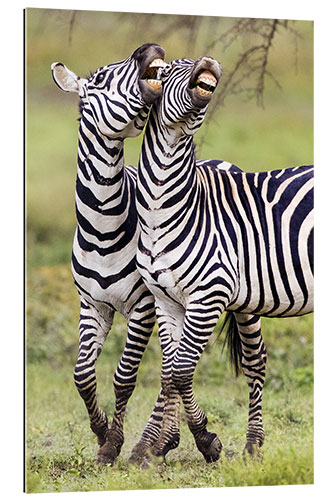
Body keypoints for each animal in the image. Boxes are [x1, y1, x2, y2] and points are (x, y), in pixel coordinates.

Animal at [51, 43, 169, 464]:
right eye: (100, 79)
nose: (150, 48)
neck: (102, 231)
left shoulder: (143, 307)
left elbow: (124, 376)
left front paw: (114, 443)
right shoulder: (93, 306)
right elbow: (82, 374)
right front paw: (101, 432)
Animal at [134, 56, 312, 462]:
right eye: (167, 70)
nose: (209, 61)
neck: (163, 209)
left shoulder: (208, 296)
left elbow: (182, 371)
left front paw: (205, 440)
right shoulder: (167, 300)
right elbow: (168, 372)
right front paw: (154, 446)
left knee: (253, 361)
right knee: (256, 359)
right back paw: (253, 444)